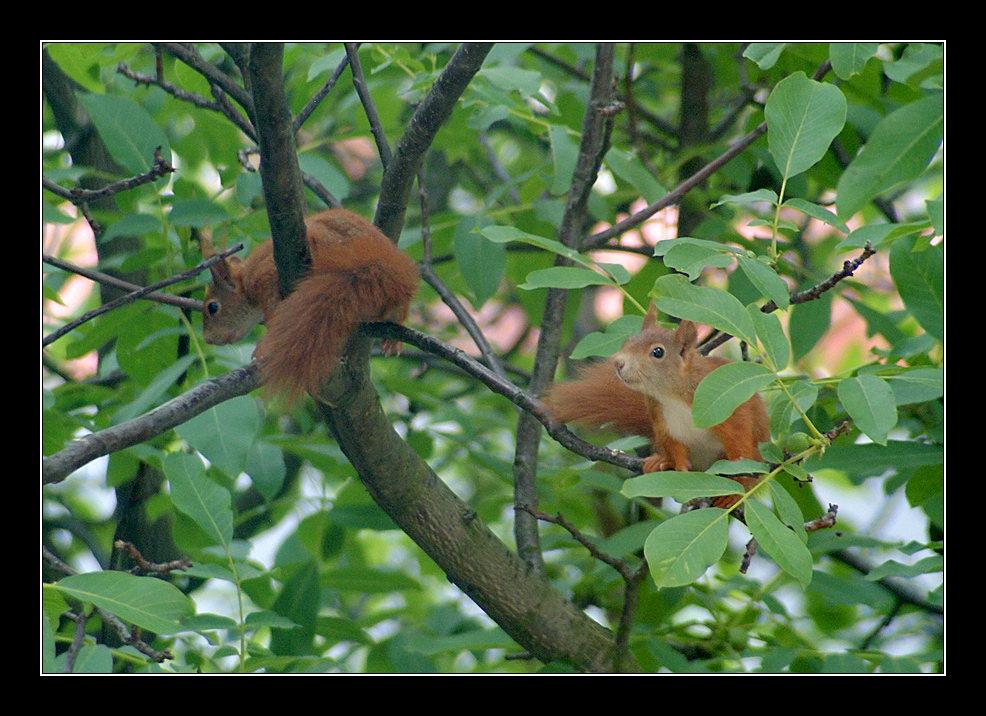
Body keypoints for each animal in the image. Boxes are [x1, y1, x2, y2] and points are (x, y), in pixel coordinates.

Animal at [540, 304, 764, 506]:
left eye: (658, 352)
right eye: (627, 341)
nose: (618, 363)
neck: (670, 395)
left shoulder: (723, 408)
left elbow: (739, 446)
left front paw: (735, 491)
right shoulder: (661, 420)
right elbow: (675, 447)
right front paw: (680, 469)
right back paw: (659, 461)